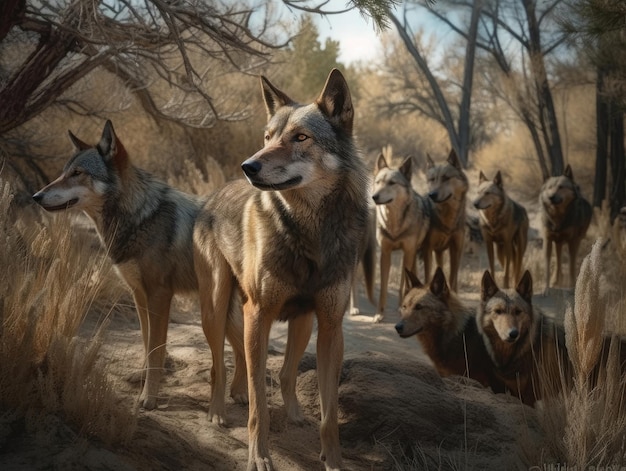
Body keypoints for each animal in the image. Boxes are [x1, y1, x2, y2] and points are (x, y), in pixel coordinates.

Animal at [31, 121, 245, 424]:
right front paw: (142, 380)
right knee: (241, 349)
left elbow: (156, 351)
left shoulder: (159, 296)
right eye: (63, 172)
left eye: (78, 173)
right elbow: (146, 344)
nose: (36, 196)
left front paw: (149, 398)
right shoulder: (139, 296)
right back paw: (239, 393)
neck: (139, 217)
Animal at [193, 67, 368, 471]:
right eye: (268, 137)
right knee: (219, 364)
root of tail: (213, 195)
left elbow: (329, 415)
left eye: (301, 137)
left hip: (300, 322)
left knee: (283, 372)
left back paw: (289, 411)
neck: (309, 233)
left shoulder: (331, 327)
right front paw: (259, 457)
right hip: (217, 307)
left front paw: (333, 460)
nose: (249, 166)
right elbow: (260, 406)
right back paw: (218, 410)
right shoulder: (259, 313)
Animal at [370, 155, 428, 324]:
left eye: (392, 183)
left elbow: (403, 285)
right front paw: (379, 314)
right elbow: (383, 288)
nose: (374, 197)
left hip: (411, 254)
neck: (394, 225)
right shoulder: (385, 253)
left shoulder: (408, 251)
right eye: (378, 182)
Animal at [422, 150, 466, 292]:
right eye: (432, 179)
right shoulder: (428, 248)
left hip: (440, 253)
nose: (432, 195)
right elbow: (427, 277)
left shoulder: (456, 249)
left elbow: (453, 280)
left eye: (446, 178)